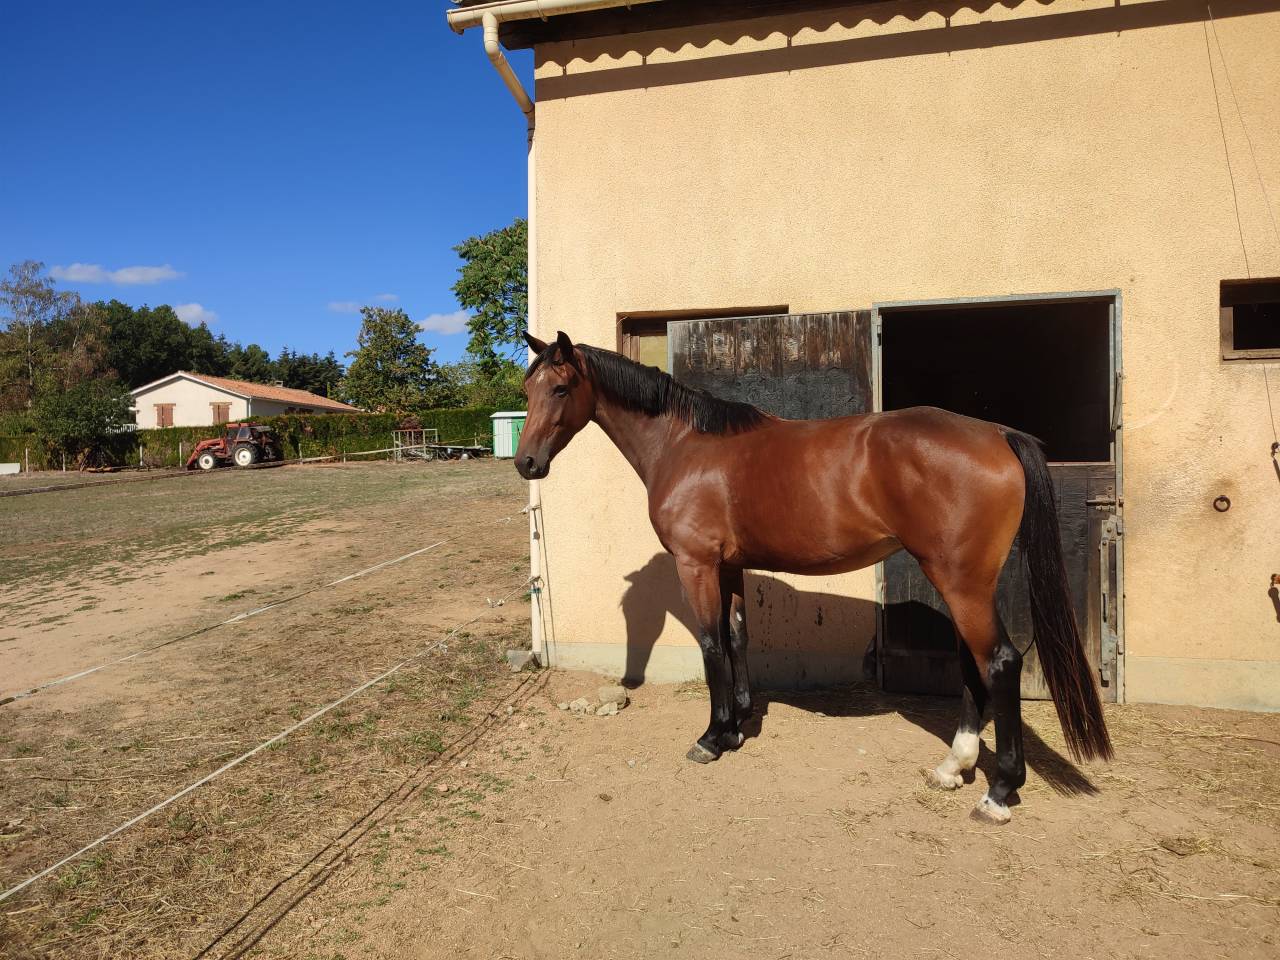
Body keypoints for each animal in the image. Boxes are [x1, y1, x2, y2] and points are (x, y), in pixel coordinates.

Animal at [515, 330, 1111, 824]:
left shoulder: (697, 565)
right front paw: (737, 727)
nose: (526, 464)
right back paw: (953, 767)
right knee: (973, 663)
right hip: (965, 584)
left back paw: (999, 791)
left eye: (561, 388)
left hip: (960, 581)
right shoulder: (730, 566)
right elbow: (737, 638)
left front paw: (712, 736)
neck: (685, 446)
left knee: (1000, 662)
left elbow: (710, 644)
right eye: (528, 388)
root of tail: (997, 433)